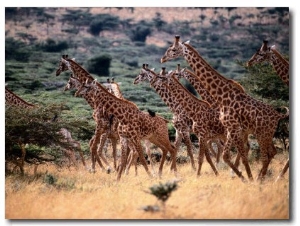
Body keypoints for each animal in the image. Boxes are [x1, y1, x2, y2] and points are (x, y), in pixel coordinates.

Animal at [161, 35, 290, 182]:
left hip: (263, 133)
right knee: (270, 152)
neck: (222, 96)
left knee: (266, 155)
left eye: (173, 49)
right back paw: (261, 177)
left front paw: (246, 178)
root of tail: (278, 115)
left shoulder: (232, 129)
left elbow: (236, 155)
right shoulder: (229, 130)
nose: (162, 59)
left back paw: (262, 179)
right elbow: (225, 155)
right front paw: (241, 176)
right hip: (261, 134)